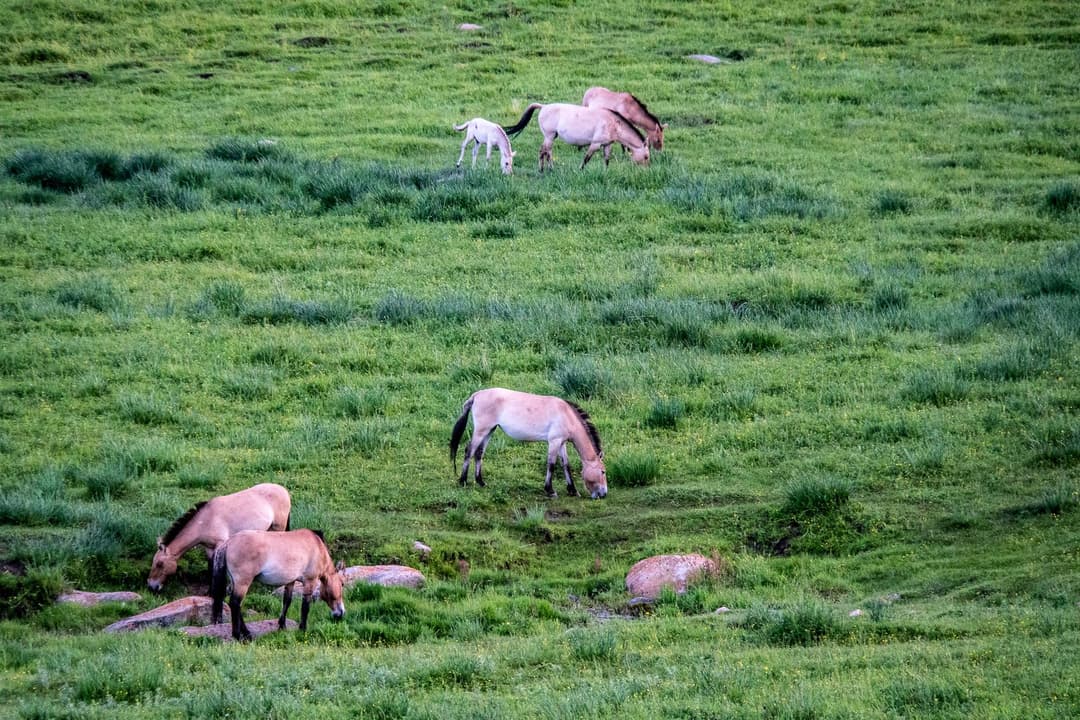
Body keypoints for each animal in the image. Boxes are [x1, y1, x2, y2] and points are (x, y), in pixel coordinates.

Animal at [147, 483, 291, 592]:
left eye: (159, 564)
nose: (151, 586)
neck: (205, 521)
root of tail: (283, 490)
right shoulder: (209, 548)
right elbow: (211, 568)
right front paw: (210, 592)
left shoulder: (220, 545)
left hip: (278, 527)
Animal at [210, 528, 346, 641]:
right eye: (342, 584)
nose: (341, 613)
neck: (317, 547)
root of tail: (228, 542)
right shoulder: (309, 582)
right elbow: (305, 607)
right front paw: (302, 629)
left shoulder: (290, 581)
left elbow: (287, 601)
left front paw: (282, 626)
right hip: (243, 583)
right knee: (235, 603)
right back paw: (238, 635)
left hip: (235, 583)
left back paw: (247, 634)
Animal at [450, 387, 608, 499]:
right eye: (603, 471)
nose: (604, 494)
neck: (566, 415)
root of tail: (477, 395)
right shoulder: (554, 442)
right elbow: (551, 465)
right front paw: (550, 490)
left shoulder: (561, 443)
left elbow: (566, 465)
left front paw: (573, 490)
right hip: (481, 430)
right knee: (469, 451)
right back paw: (463, 481)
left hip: (489, 430)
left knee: (479, 453)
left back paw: (481, 482)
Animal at [502, 103, 649, 172]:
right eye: (647, 156)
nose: (645, 169)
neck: (613, 122)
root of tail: (543, 106)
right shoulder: (595, 144)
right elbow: (586, 159)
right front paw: (580, 170)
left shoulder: (607, 144)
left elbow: (607, 159)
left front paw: (605, 171)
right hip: (549, 136)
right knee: (544, 151)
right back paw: (544, 169)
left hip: (552, 137)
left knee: (547, 151)